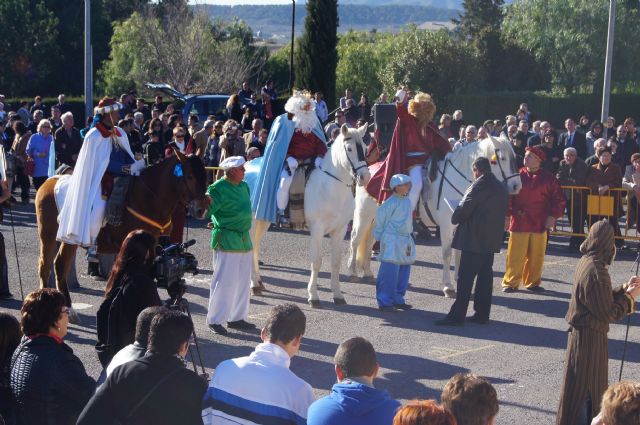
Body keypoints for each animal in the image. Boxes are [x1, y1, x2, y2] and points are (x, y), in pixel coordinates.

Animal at [35, 149, 208, 318]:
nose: (201, 209)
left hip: (69, 238)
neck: (148, 197)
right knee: (46, 264)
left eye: (204, 175)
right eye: (189, 176)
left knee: (59, 263)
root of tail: (50, 181)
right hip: (50, 234)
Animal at [250, 124, 370, 306]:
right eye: (349, 149)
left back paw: (259, 282)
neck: (331, 187)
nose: (365, 177)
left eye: (364, 147)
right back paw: (253, 285)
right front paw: (313, 296)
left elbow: (336, 262)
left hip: (263, 220)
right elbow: (317, 262)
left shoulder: (340, 230)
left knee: (256, 246)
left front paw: (338, 294)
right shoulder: (317, 229)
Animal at [348, 136, 524, 294]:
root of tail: (370, 170)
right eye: (501, 159)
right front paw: (448, 286)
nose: (517, 186)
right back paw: (352, 272)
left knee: (369, 241)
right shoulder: (446, 225)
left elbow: (459, 251)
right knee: (356, 239)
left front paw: (459, 278)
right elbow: (447, 253)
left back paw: (368, 272)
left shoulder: (460, 224)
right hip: (364, 215)